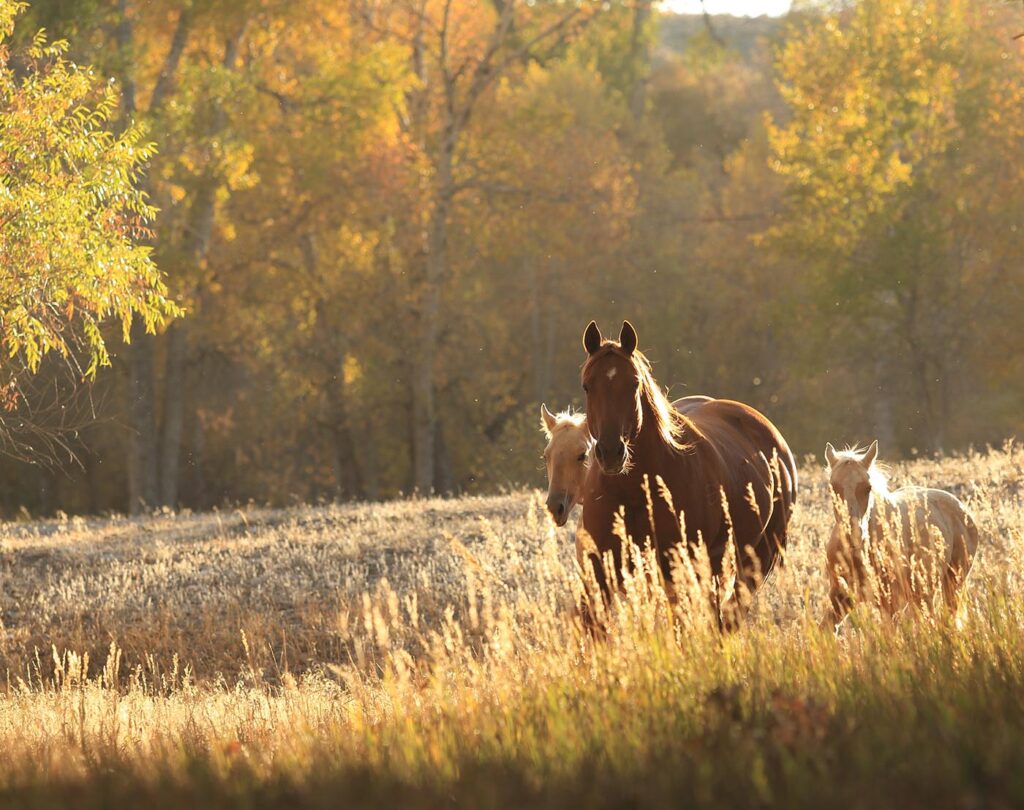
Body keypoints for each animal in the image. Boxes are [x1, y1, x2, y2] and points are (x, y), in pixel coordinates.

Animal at [581, 319, 794, 618]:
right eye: (587, 386)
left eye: (634, 383)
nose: (611, 452)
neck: (634, 489)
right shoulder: (599, 568)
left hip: (755, 559)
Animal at [819, 440, 978, 630]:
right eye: (833, 487)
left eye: (868, 487)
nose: (853, 533)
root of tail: (961, 508)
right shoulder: (840, 598)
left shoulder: (889, 605)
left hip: (952, 586)